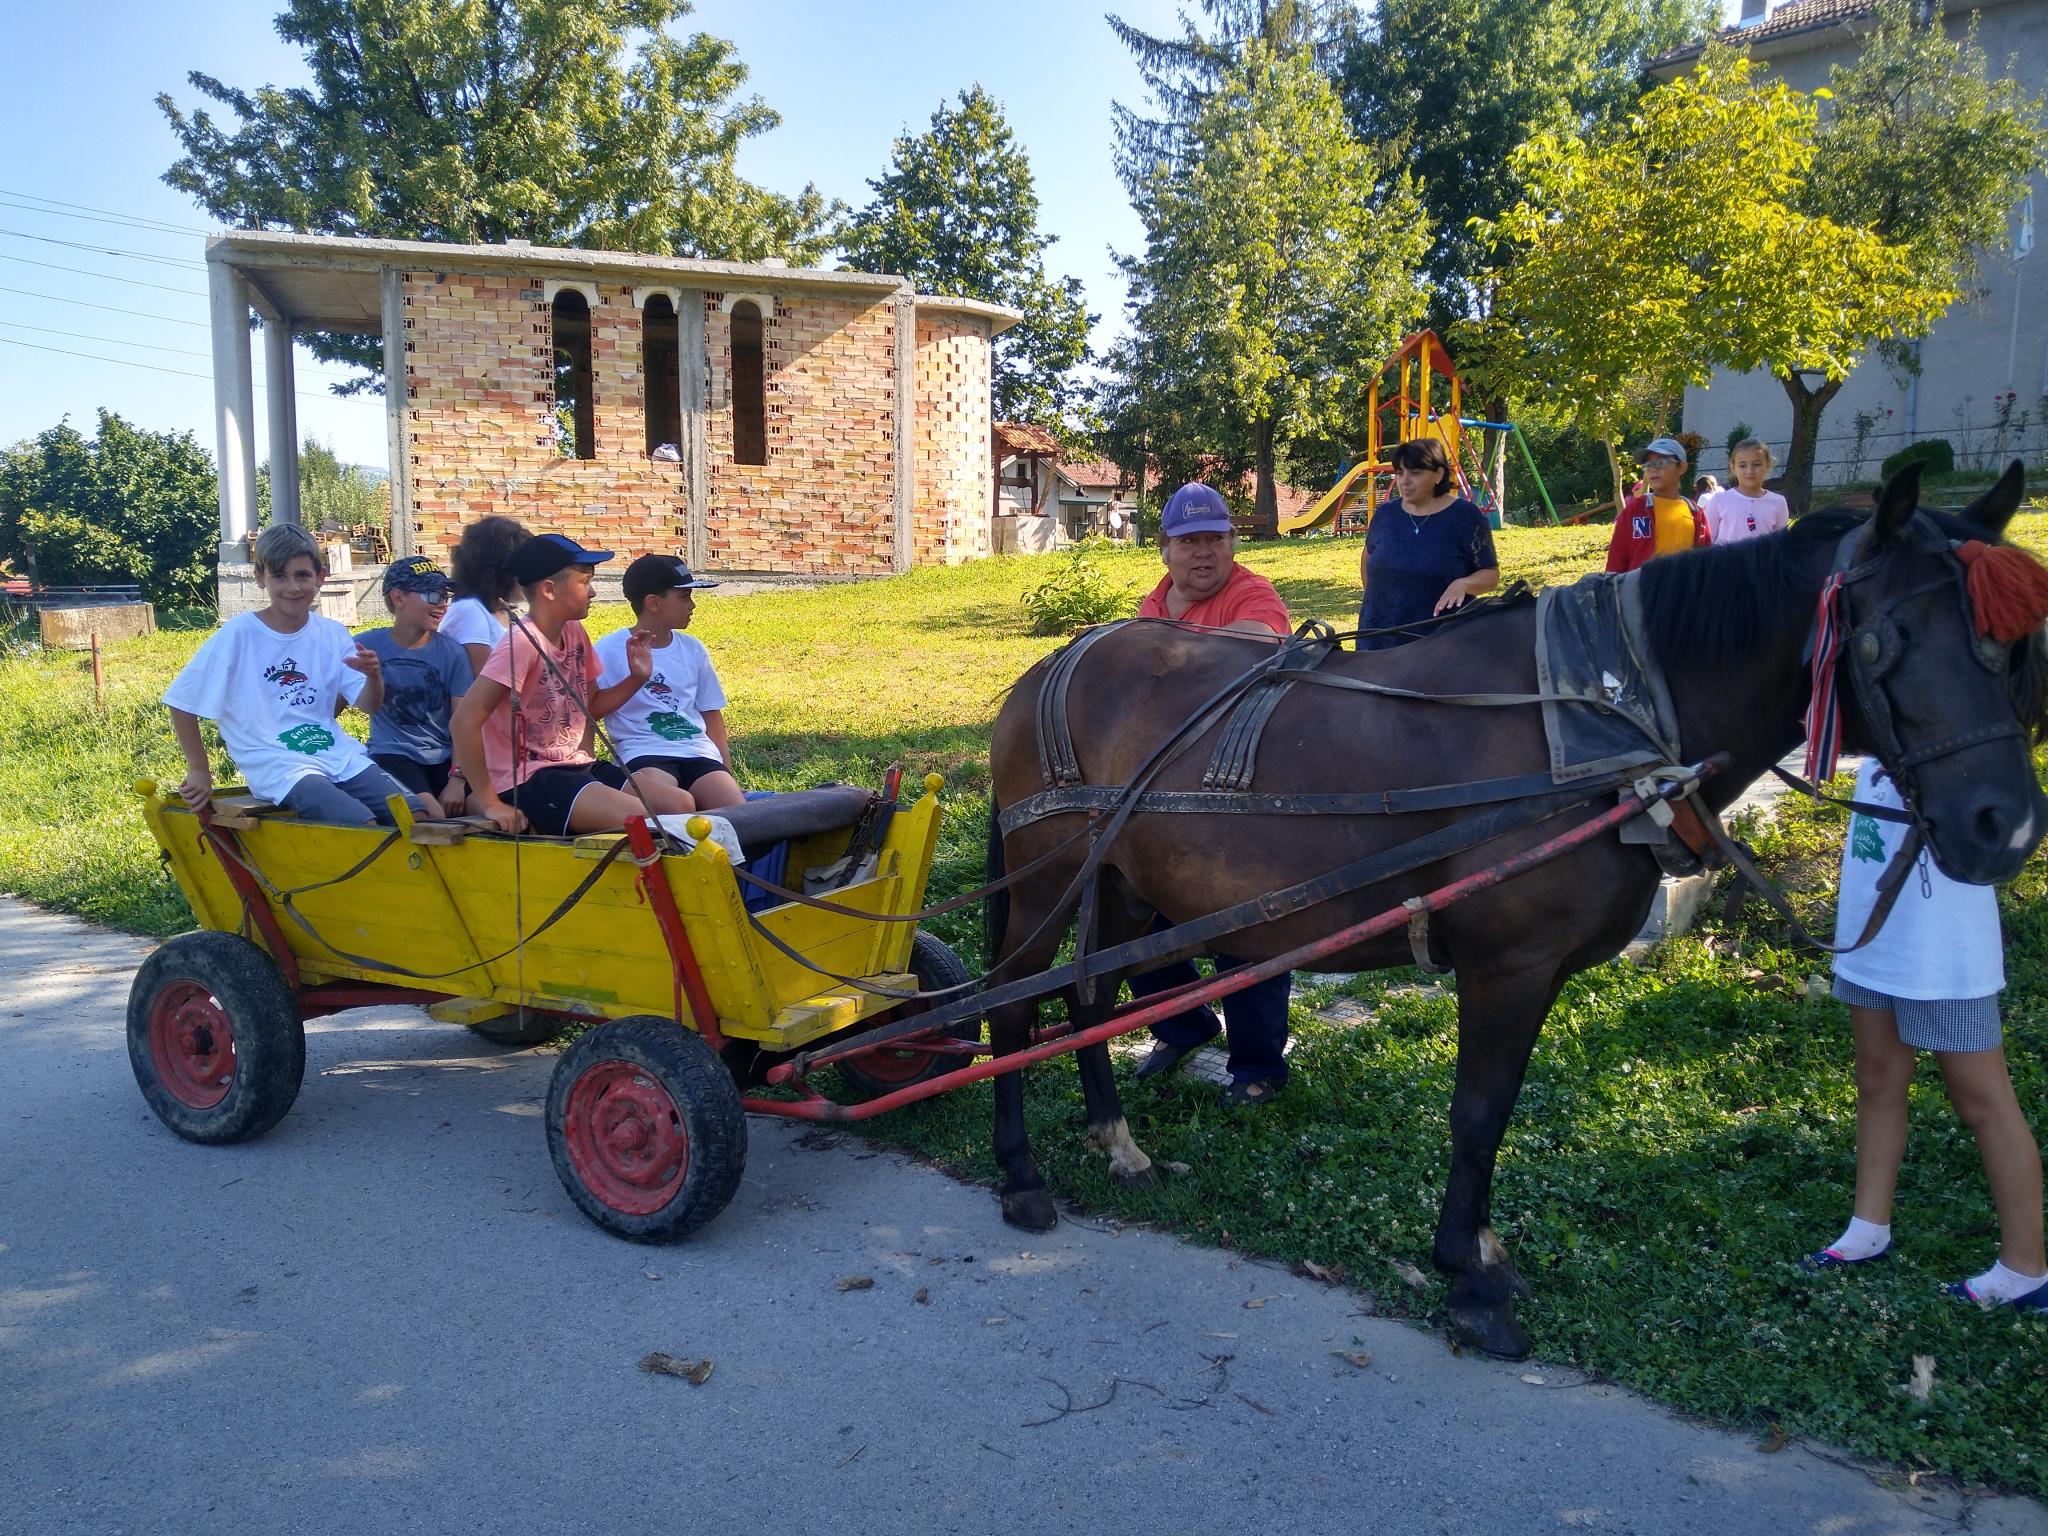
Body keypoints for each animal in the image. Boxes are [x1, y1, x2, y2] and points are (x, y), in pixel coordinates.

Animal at [981, 462, 2048, 1361]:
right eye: (1885, 641)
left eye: (2012, 649)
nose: (2005, 827)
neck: (1598, 720)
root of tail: (1050, 669)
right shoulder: (1510, 963)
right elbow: (1480, 1111)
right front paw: (1470, 1279)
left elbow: (1495, 1113)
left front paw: (1480, 1255)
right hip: (1045, 883)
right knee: (1013, 1006)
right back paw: (1022, 1175)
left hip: (1120, 889)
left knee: (1085, 998)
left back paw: (1116, 1143)